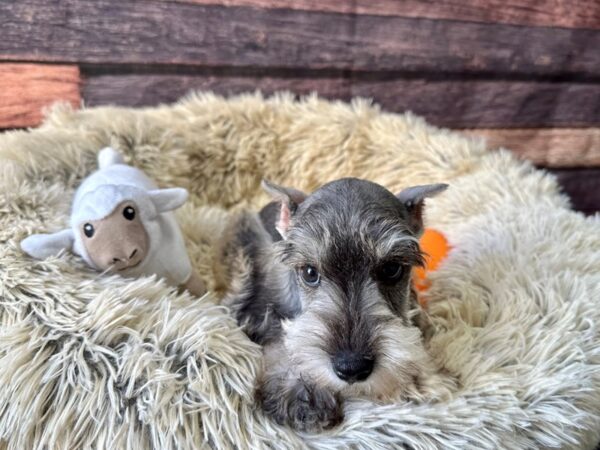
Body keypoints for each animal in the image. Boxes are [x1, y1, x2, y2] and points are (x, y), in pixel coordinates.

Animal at [218, 177, 448, 432]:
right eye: (309, 272)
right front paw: (300, 390)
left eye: (392, 269)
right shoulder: (262, 311)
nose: (352, 368)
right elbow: (282, 341)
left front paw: (416, 379)